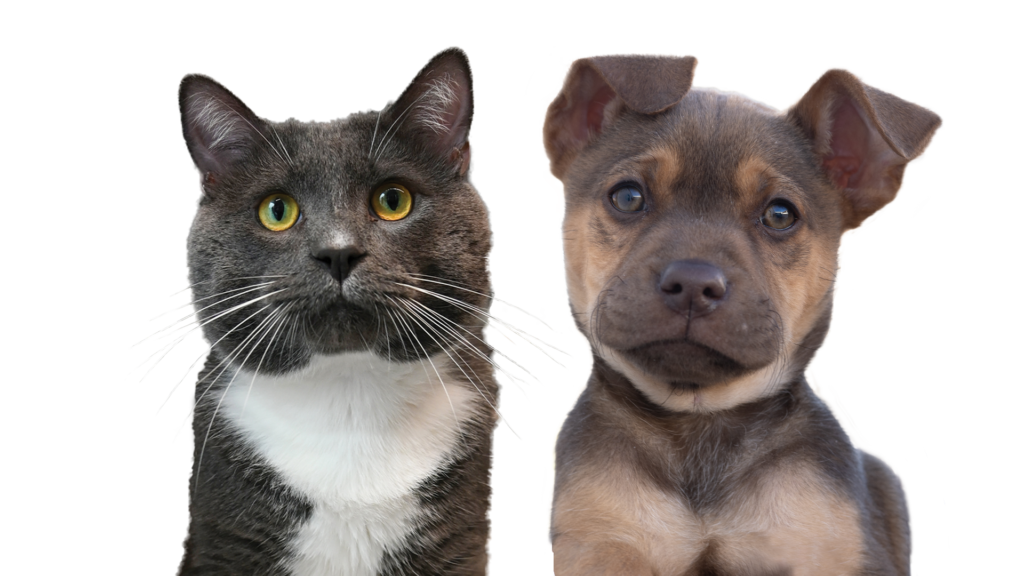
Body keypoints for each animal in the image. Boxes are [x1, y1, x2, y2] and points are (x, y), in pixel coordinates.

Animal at [136, 45, 561, 573]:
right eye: (276, 210)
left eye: (393, 200)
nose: (338, 252)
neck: (350, 399)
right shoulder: (227, 539)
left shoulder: (458, 541)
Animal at [540, 51, 937, 569]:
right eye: (628, 197)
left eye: (780, 215)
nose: (693, 283)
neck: (699, 424)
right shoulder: (604, 545)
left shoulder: (821, 549)